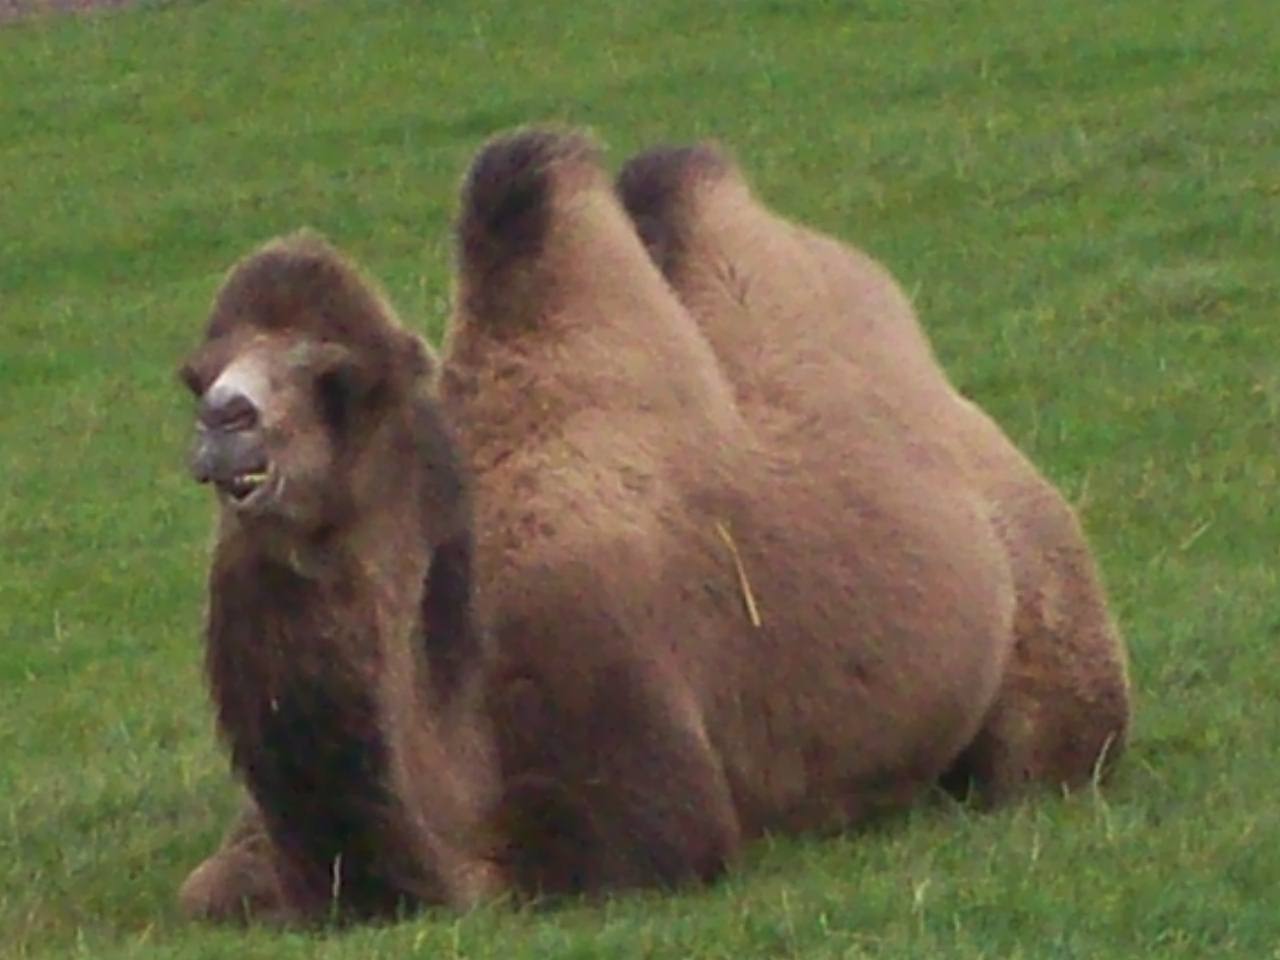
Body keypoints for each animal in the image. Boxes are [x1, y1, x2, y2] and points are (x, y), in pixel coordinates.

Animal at [175, 127, 1129, 925]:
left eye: (339, 378)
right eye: (198, 372)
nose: (226, 422)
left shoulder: (632, 770)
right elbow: (207, 890)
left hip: (1050, 636)